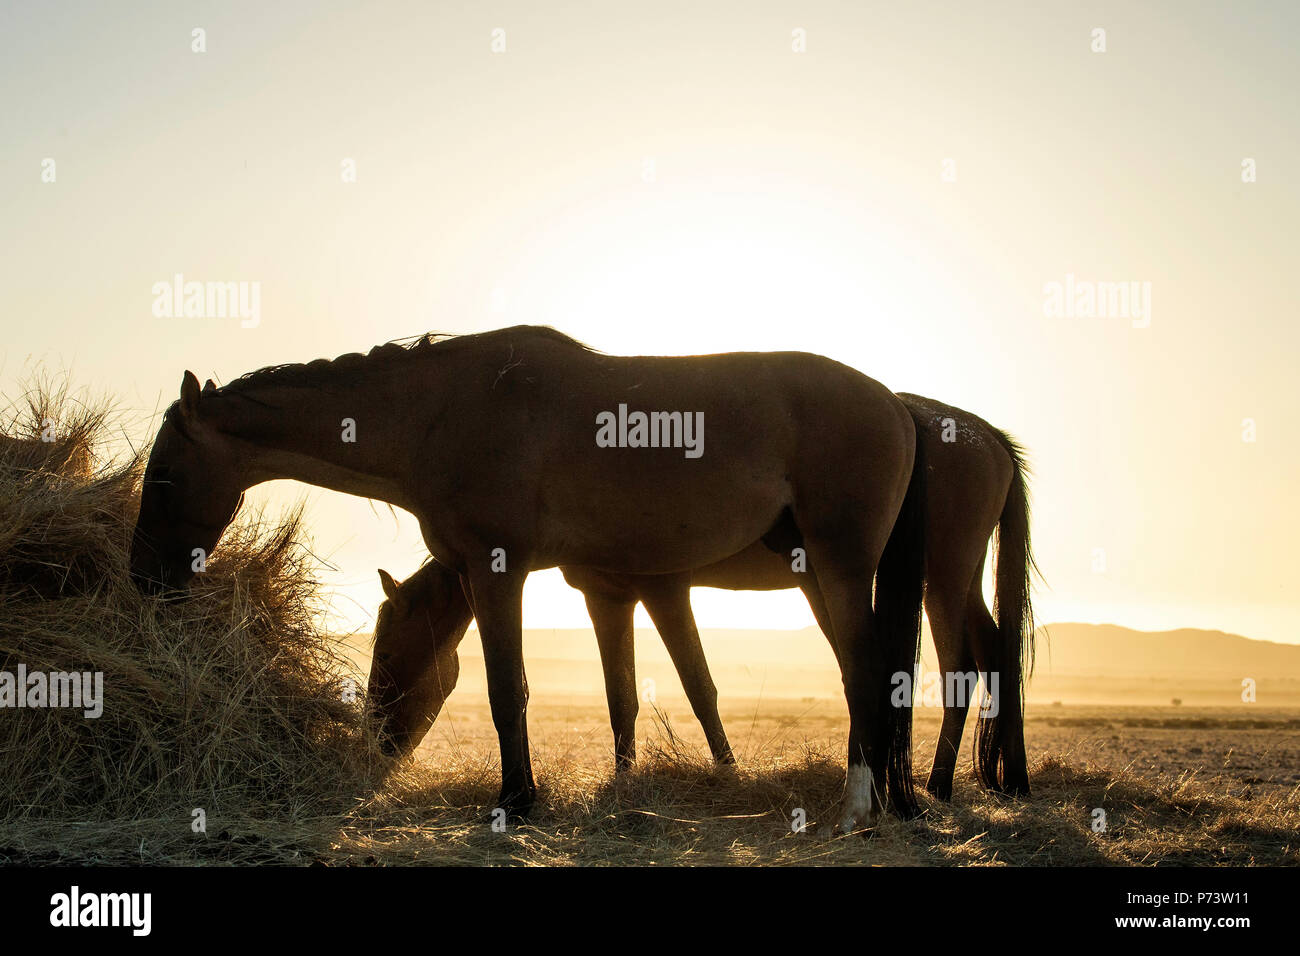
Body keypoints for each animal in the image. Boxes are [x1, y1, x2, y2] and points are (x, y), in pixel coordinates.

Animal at [129, 329, 925, 832]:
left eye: (163, 472)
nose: (143, 581)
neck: (439, 416)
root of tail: (897, 404)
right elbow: (615, 696)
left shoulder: (500, 571)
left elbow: (507, 690)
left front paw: (517, 800)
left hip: (840, 567)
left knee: (863, 673)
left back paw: (857, 809)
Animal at [366, 390, 1034, 801]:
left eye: (389, 652)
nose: (378, 745)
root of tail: (987, 438)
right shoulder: (608, 595)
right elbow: (622, 696)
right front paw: (626, 781)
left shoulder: (664, 590)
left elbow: (699, 686)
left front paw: (727, 772)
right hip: (953, 580)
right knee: (993, 650)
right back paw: (1005, 779)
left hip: (939, 577)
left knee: (961, 663)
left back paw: (939, 784)